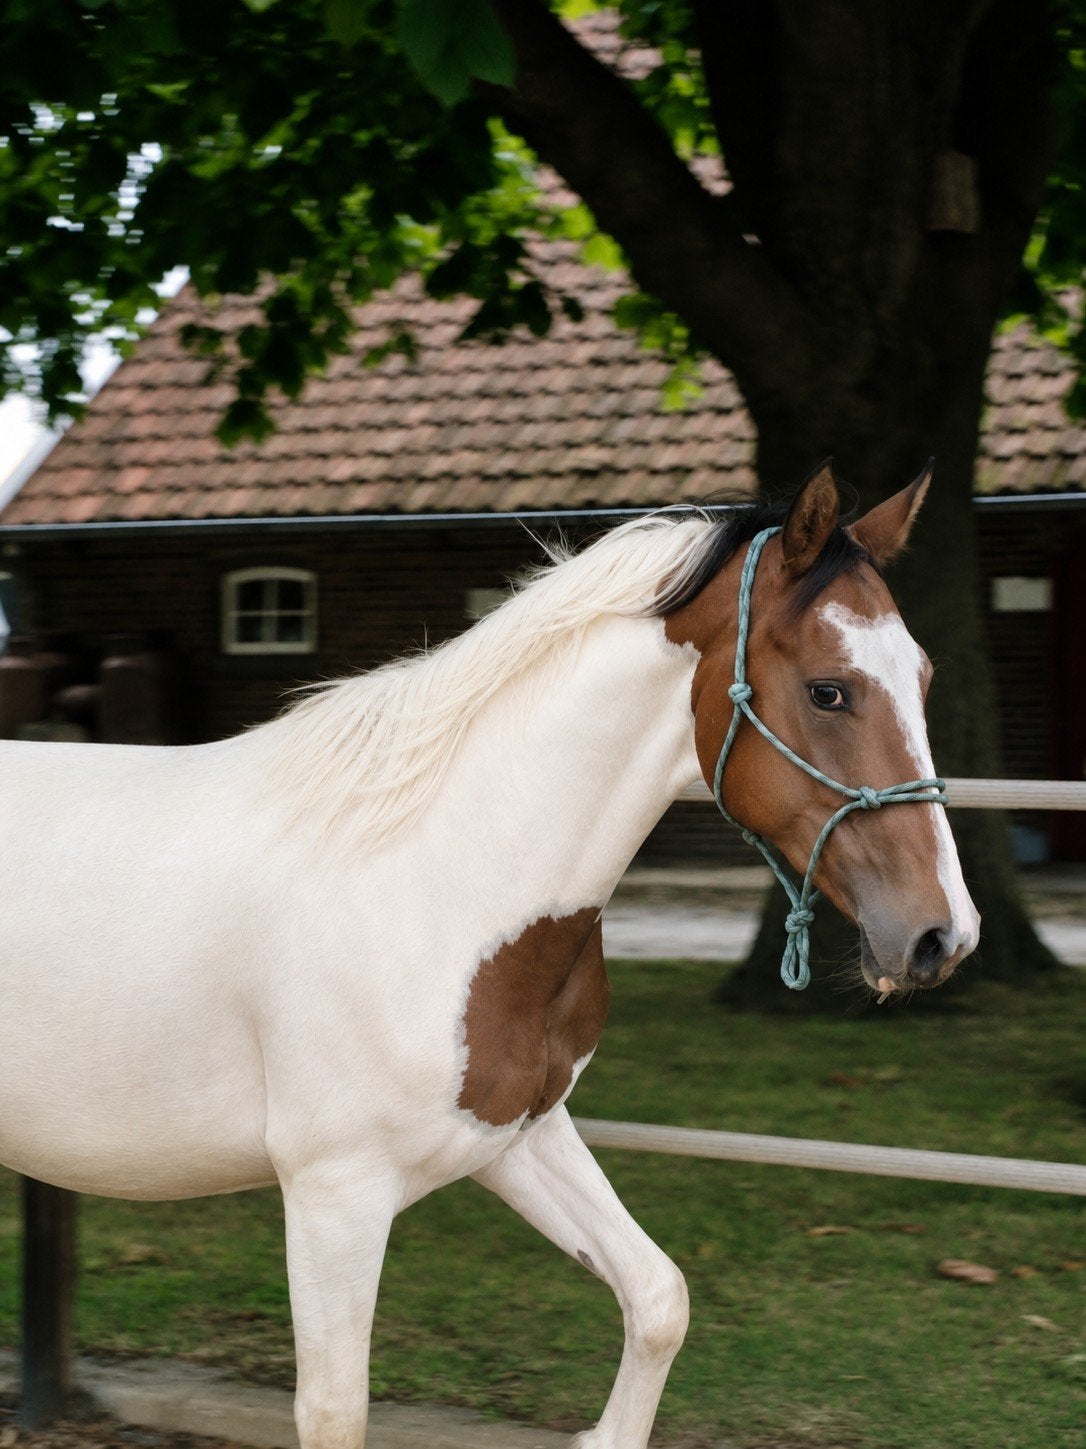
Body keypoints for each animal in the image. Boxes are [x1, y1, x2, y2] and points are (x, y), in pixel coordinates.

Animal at [0, 461, 978, 1449]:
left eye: (925, 673)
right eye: (828, 690)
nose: (942, 935)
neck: (431, 874)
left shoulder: (520, 1133)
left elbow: (658, 1299)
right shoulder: (334, 1194)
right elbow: (334, 1407)